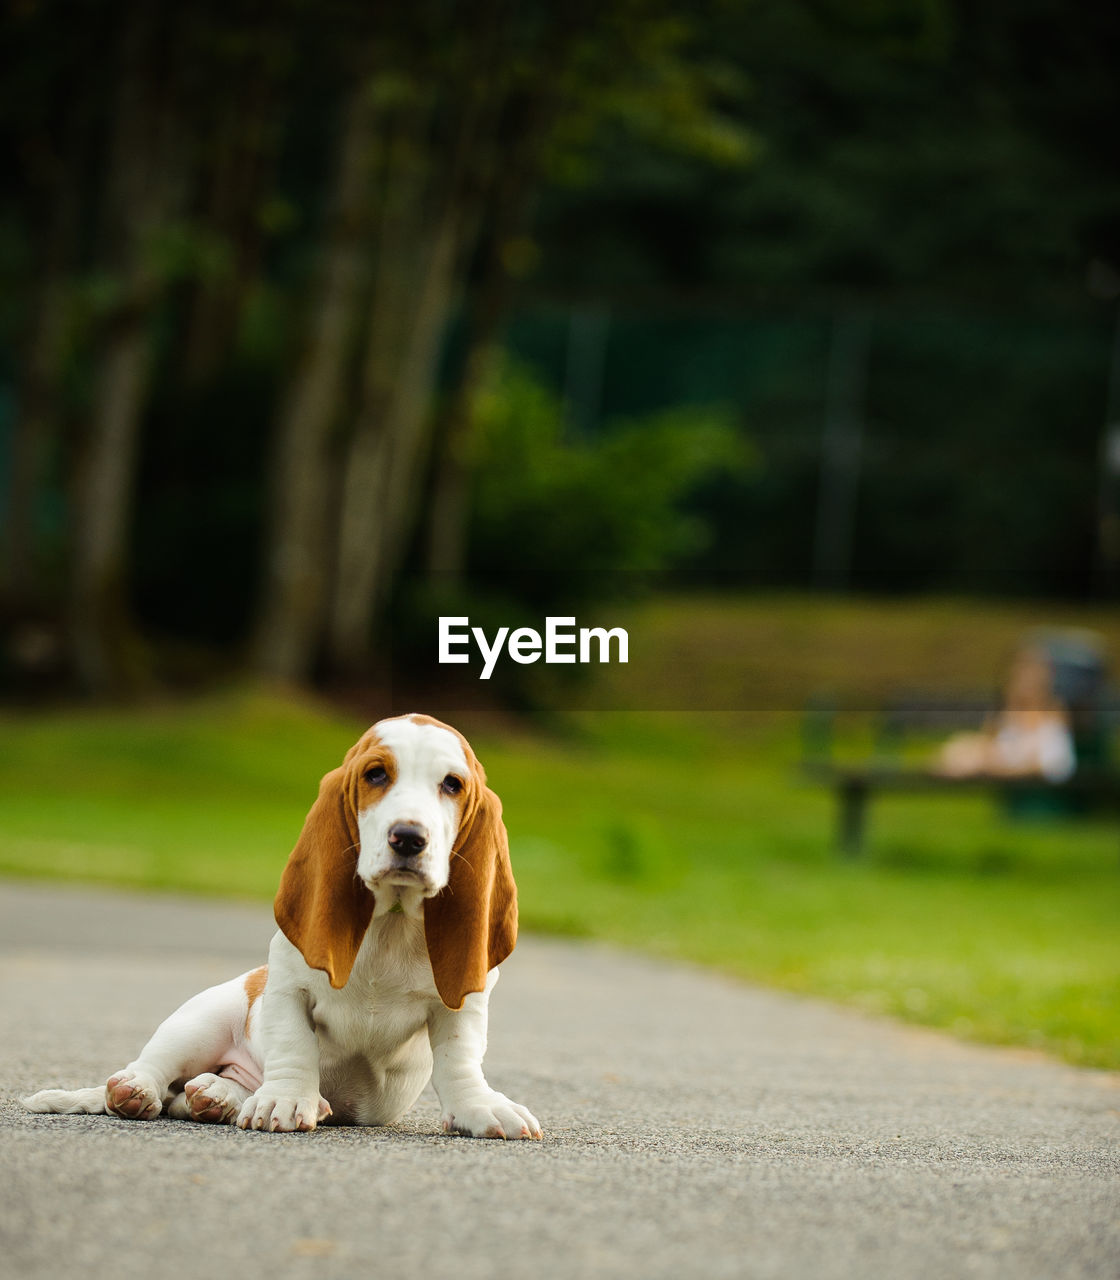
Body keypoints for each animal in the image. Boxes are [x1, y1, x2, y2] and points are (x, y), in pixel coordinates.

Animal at [20, 716, 537, 1146]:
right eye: (375, 775)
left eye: (452, 784)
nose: (408, 838)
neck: (389, 919)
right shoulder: (289, 987)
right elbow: (294, 1045)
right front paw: (285, 1101)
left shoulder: (463, 1004)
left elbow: (459, 1059)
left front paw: (480, 1108)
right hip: (200, 1021)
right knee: (156, 1071)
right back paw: (139, 1090)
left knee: (187, 1097)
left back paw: (216, 1096)